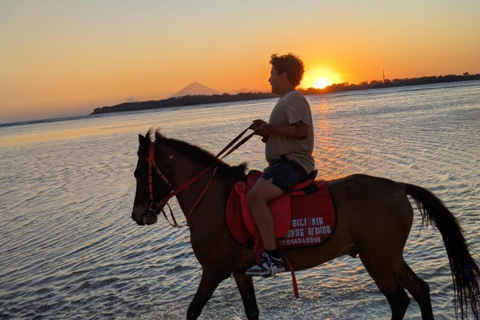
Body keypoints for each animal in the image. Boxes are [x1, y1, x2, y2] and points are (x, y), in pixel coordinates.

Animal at [131, 129, 480, 320]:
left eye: (137, 174)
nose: (138, 215)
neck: (214, 199)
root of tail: (397, 186)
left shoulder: (213, 271)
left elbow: (193, 311)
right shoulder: (239, 273)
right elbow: (252, 312)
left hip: (377, 258)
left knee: (399, 300)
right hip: (389, 256)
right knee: (420, 291)